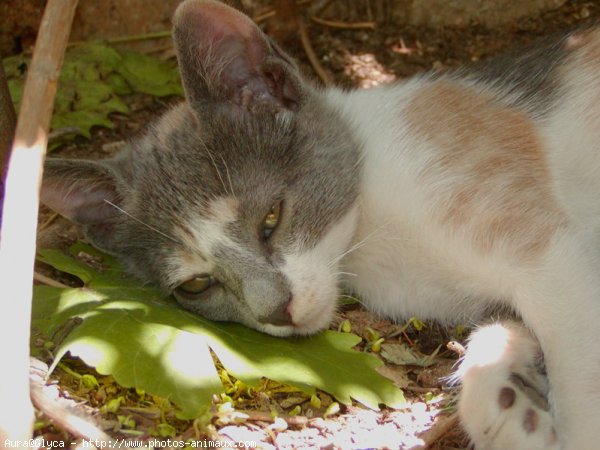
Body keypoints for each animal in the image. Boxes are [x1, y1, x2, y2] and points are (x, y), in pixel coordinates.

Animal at [41, 1, 600, 448]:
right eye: (197, 285)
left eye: (271, 218)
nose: (277, 311)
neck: (368, 236)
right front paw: (513, 404)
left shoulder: (549, 253)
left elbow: (581, 373)